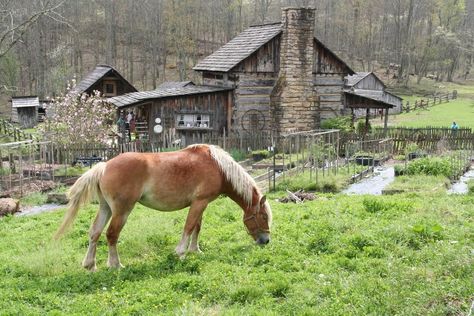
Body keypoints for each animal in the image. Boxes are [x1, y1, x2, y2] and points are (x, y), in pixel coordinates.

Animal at [54, 144, 272, 270]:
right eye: (263, 217)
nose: (266, 241)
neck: (218, 166)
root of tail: (104, 166)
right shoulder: (199, 202)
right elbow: (189, 226)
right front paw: (181, 252)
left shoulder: (200, 204)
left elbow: (197, 227)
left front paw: (195, 250)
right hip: (122, 211)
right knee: (111, 234)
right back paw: (115, 265)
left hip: (106, 208)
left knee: (95, 233)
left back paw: (90, 265)